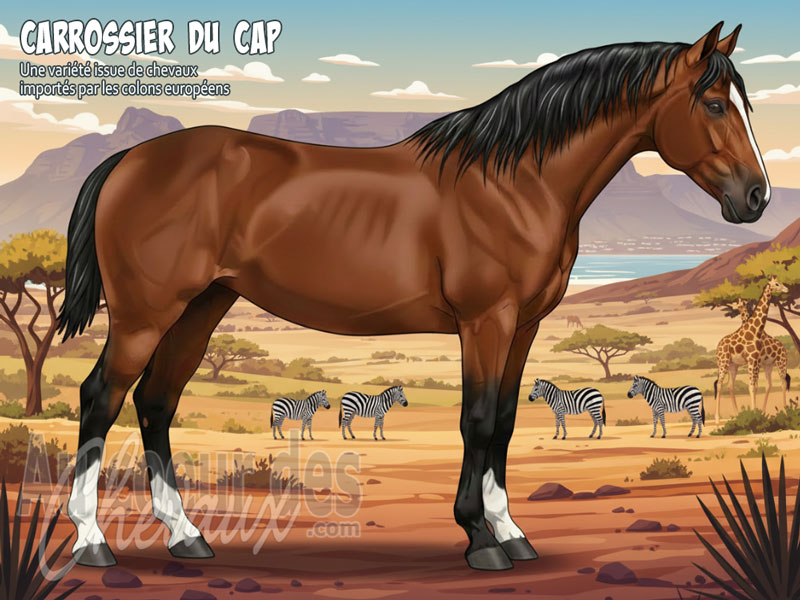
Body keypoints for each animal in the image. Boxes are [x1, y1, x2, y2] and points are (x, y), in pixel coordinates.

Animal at [59, 22, 768, 571]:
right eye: (713, 103)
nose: (757, 196)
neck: (514, 182)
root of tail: (128, 161)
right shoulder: (486, 320)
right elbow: (476, 420)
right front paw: (481, 540)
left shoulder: (524, 326)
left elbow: (505, 422)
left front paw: (511, 532)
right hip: (146, 315)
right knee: (102, 398)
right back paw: (93, 542)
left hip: (201, 308)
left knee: (156, 402)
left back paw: (187, 536)